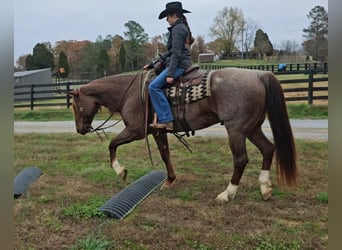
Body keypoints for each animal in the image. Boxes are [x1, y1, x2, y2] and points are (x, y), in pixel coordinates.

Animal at [69, 67, 296, 202]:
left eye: (76, 106)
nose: (80, 129)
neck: (129, 93)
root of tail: (258, 75)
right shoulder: (157, 131)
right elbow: (165, 154)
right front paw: (169, 180)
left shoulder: (135, 130)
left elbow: (112, 144)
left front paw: (120, 171)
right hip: (252, 128)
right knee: (268, 149)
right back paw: (265, 188)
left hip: (237, 129)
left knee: (241, 159)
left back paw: (227, 193)